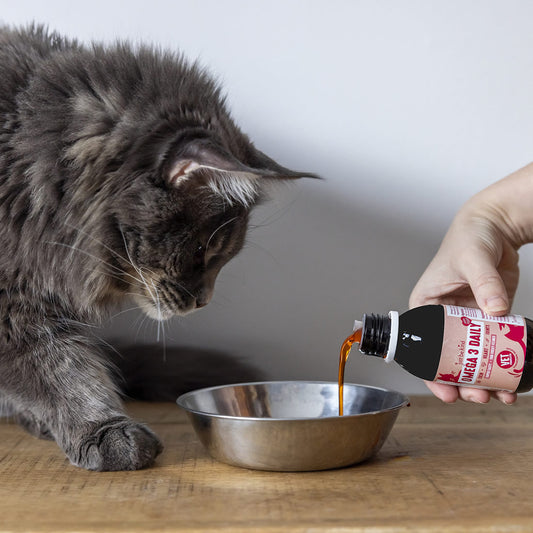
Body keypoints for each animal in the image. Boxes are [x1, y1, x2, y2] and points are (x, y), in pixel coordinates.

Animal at [0, 26, 314, 470]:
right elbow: (59, 368)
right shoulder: (12, 306)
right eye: (203, 249)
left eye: (219, 254)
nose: (203, 301)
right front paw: (105, 431)